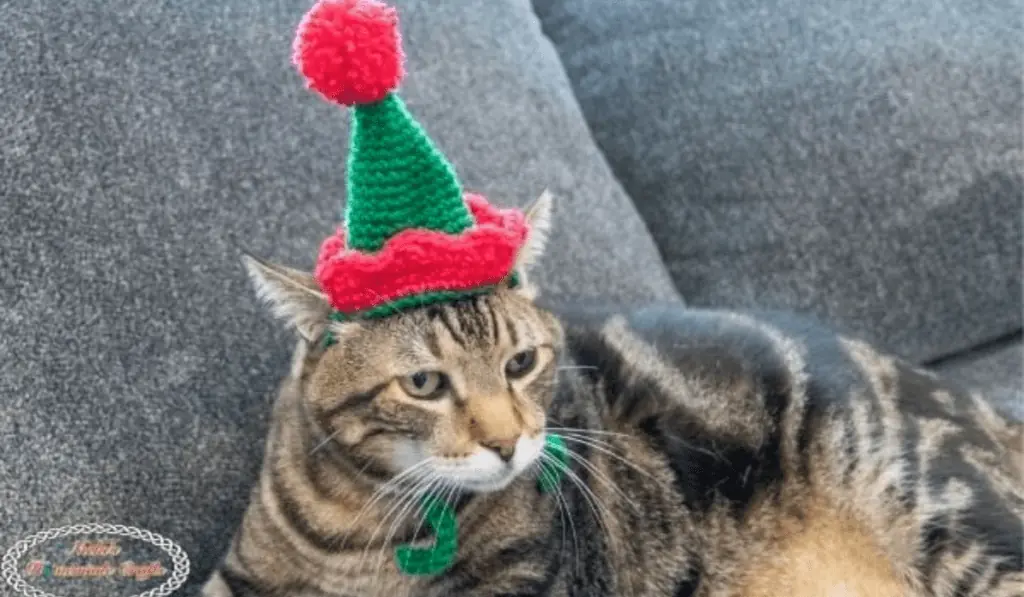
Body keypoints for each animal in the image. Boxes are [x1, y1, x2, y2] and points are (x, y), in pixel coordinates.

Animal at [201, 193, 1024, 593]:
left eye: (521, 363)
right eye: (425, 383)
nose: (508, 443)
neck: (371, 520)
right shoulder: (241, 578)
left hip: (942, 503)